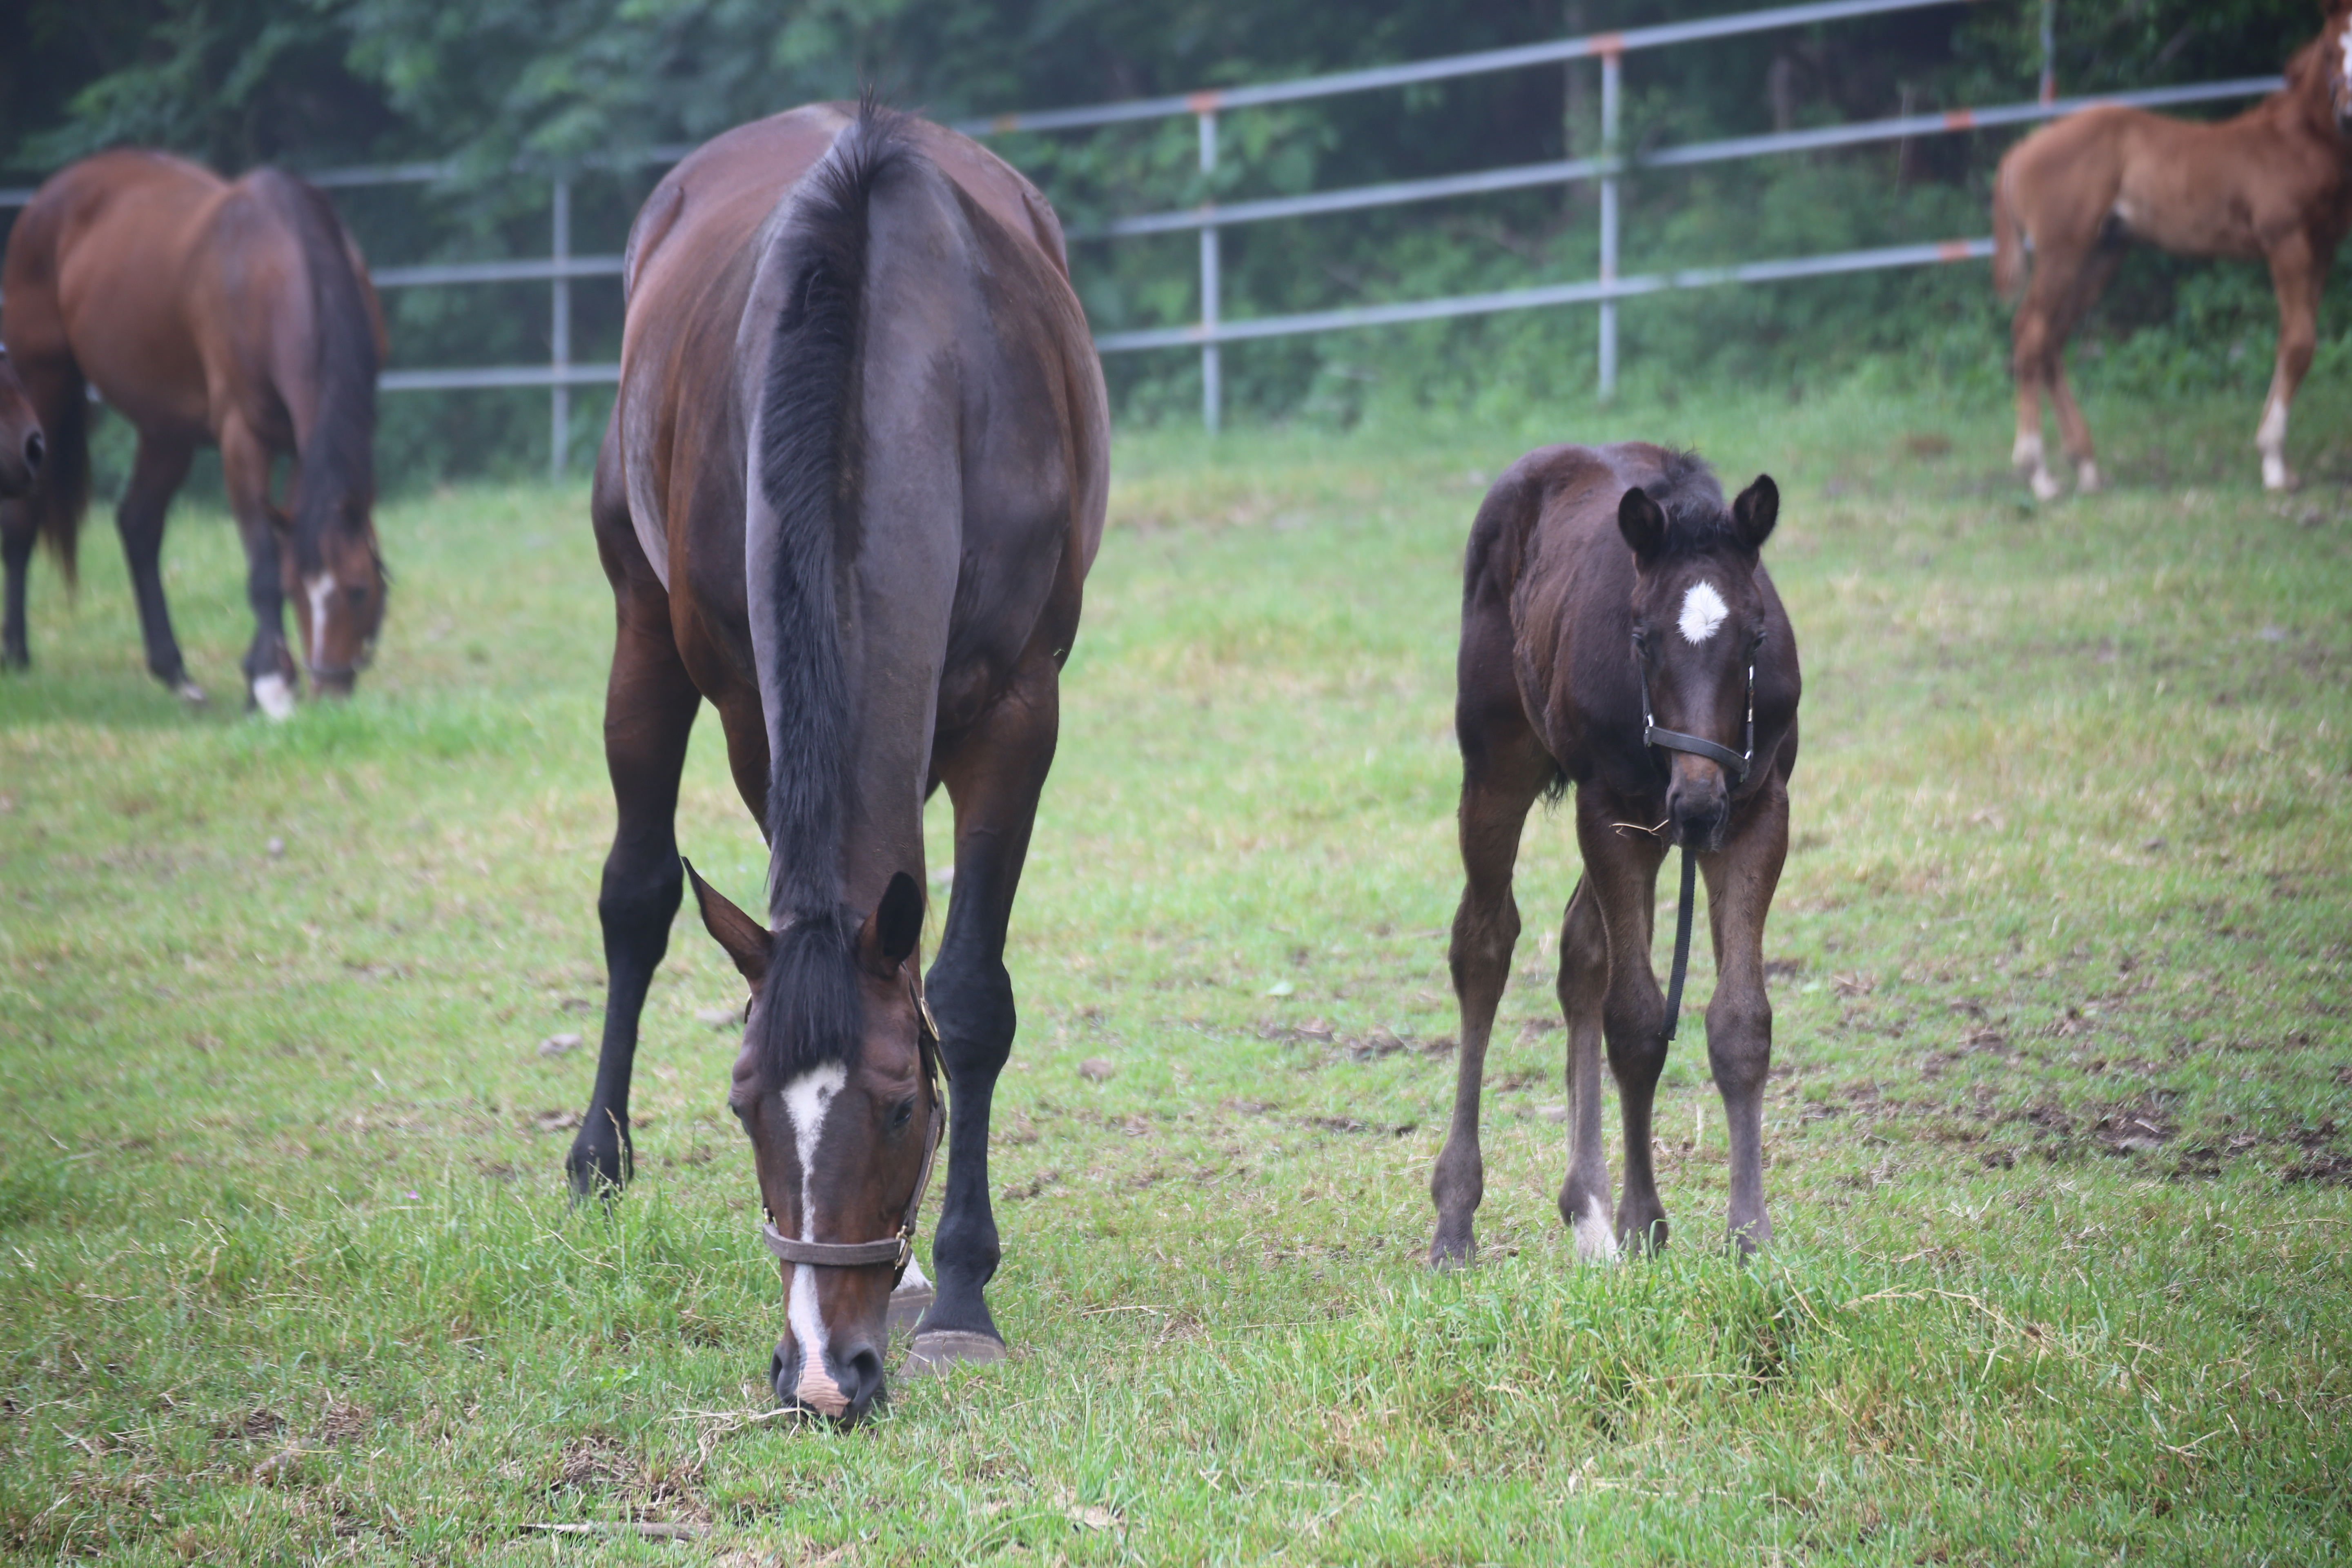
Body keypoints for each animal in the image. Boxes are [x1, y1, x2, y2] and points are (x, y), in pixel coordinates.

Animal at [569, 95, 1110, 1420]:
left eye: (902, 1105)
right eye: (742, 1104)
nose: (822, 1371)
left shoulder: (1020, 713)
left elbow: (964, 995)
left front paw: (957, 1288)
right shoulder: (756, 711)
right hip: (640, 627)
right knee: (636, 893)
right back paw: (597, 1157)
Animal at [1430, 446, 1797, 1269]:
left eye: (1756, 639)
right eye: (1641, 638)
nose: (1697, 802)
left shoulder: (1759, 811)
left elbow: (1741, 1022)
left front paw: (1750, 1237)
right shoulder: (1612, 816)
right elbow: (1633, 1023)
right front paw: (1643, 1219)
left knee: (1580, 951)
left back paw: (1587, 1211)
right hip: (1499, 763)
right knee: (1484, 943)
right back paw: (1457, 1217)